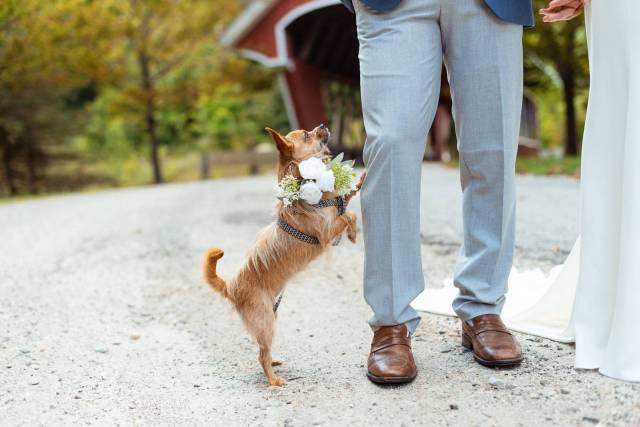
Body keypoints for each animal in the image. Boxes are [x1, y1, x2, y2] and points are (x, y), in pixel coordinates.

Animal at [204, 124, 364, 388]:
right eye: (308, 135)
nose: (322, 125)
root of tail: (231, 287)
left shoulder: (335, 210)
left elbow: (346, 201)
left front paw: (359, 182)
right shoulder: (327, 232)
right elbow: (348, 214)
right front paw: (351, 232)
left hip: (271, 317)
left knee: (263, 349)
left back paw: (274, 362)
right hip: (266, 322)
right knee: (261, 354)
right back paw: (273, 380)